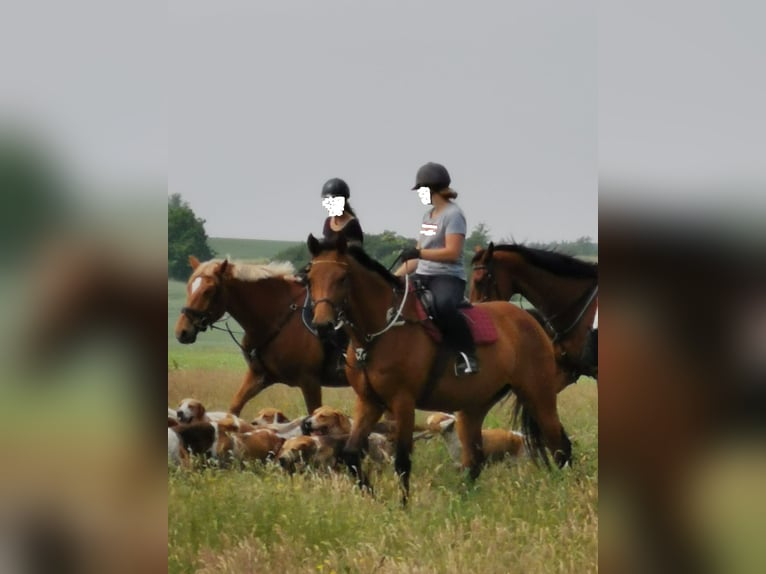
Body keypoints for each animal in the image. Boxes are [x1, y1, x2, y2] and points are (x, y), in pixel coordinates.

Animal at [174, 258, 348, 416]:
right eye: (189, 287)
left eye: (208, 291)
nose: (182, 332)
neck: (279, 317)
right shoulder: (258, 377)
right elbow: (235, 406)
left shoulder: (310, 382)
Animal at [306, 236, 568, 506]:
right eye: (310, 278)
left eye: (342, 278)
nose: (323, 325)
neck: (379, 334)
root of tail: (530, 319)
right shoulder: (369, 402)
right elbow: (350, 454)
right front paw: (373, 497)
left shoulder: (403, 402)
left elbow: (402, 461)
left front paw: (403, 507)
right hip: (474, 407)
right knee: (475, 460)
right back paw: (462, 500)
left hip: (538, 395)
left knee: (560, 445)